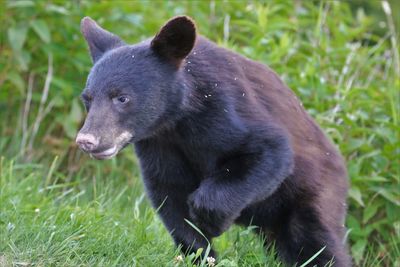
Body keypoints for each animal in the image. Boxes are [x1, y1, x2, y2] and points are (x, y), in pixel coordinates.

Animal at [76, 15, 350, 266]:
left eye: (121, 98)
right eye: (87, 98)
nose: (86, 140)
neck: (177, 118)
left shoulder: (224, 109)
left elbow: (270, 150)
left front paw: (210, 218)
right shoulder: (159, 145)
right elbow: (169, 194)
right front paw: (198, 253)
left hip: (313, 192)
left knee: (316, 241)